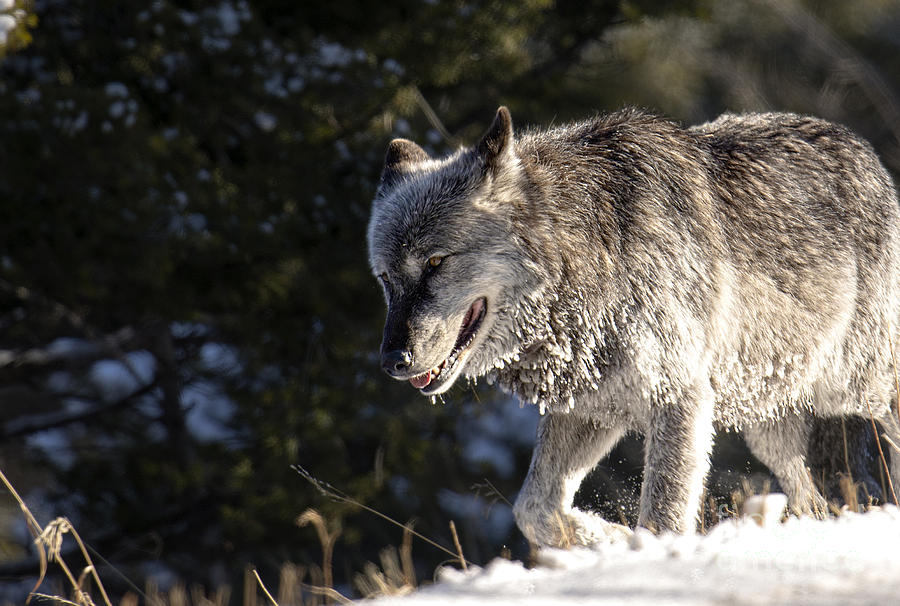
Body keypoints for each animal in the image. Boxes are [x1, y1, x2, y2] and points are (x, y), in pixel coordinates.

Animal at [366, 104, 900, 548]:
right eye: (386, 278)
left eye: (435, 262)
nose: (393, 361)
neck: (591, 255)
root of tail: (867, 152)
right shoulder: (589, 407)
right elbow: (534, 511)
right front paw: (610, 538)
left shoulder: (680, 398)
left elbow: (662, 515)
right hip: (766, 424)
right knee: (810, 499)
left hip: (854, 388)